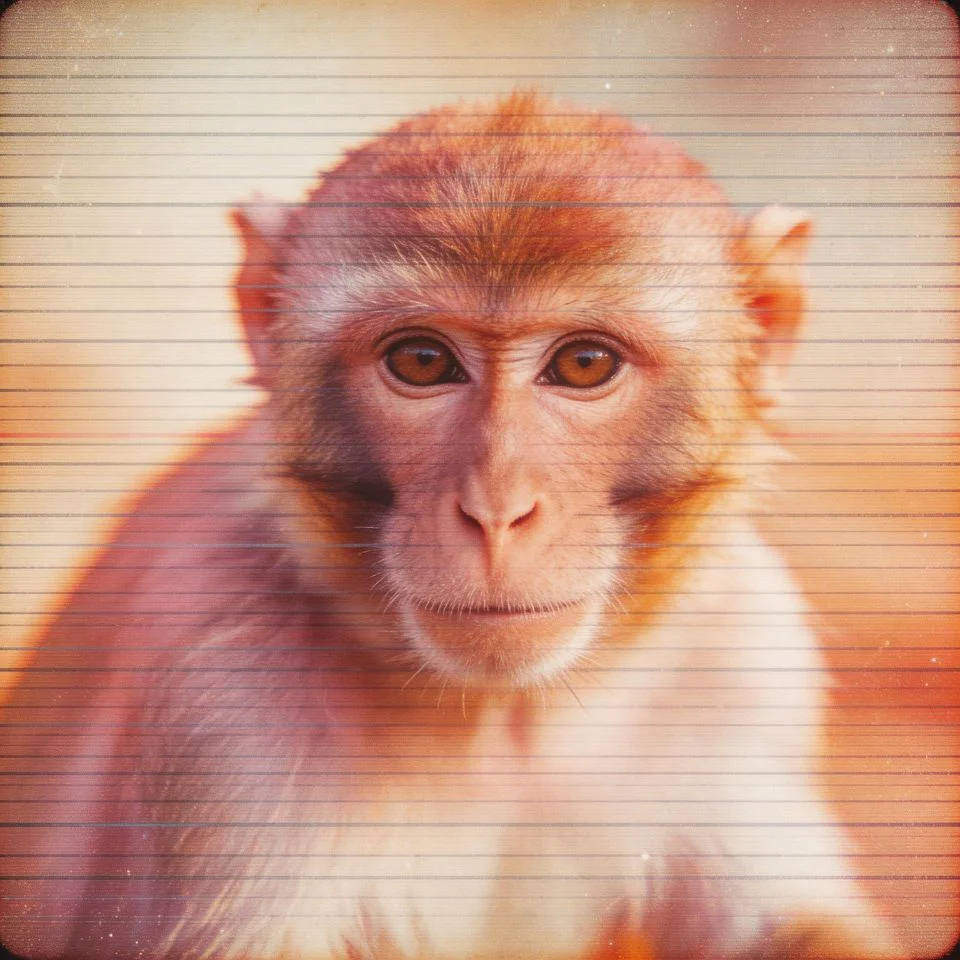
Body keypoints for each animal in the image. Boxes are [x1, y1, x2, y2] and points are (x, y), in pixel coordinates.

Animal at [0, 91, 905, 960]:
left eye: (584, 364)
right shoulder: (217, 693)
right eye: (423, 361)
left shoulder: (742, 664)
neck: (504, 726)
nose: (496, 510)